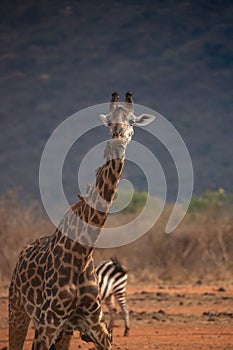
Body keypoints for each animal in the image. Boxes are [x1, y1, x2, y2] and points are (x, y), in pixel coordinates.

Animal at [8, 91, 155, 348]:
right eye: (108, 122)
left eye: (133, 122)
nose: (119, 141)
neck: (82, 251)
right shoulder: (46, 325)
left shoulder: (96, 327)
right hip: (17, 311)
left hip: (64, 332)